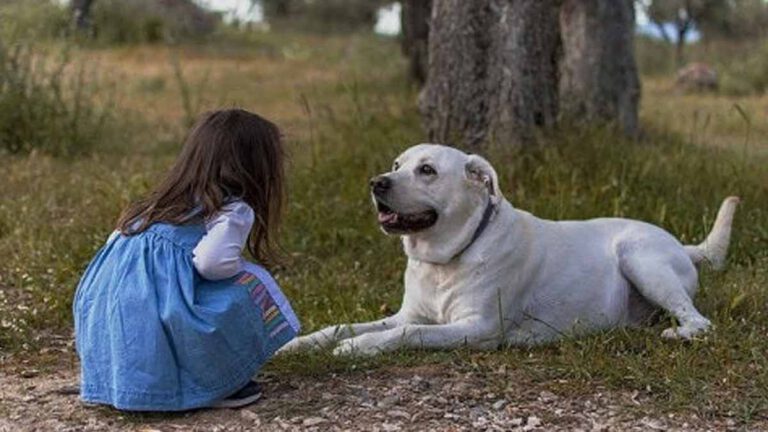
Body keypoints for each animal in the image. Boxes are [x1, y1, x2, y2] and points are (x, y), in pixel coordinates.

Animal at [282, 143, 736, 356]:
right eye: (396, 165)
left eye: (427, 170)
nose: (377, 182)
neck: (446, 259)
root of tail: (683, 245)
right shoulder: (406, 313)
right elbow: (342, 326)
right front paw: (300, 344)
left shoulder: (477, 327)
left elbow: (409, 334)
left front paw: (360, 348)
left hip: (640, 257)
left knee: (701, 322)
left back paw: (678, 334)